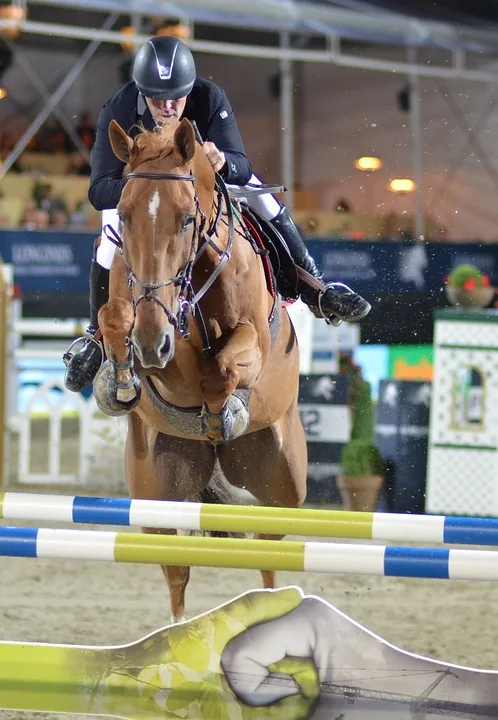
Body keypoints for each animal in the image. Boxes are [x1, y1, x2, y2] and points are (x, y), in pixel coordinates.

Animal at [91, 118, 306, 624]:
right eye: (124, 216)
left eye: (187, 218)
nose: (152, 343)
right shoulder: (156, 343)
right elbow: (116, 317)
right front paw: (120, 379)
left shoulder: (251, 341)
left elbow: (223, 367)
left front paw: (225, 412)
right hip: (157, 490)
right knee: (176, 569)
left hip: (284, 483)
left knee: (267, 554)